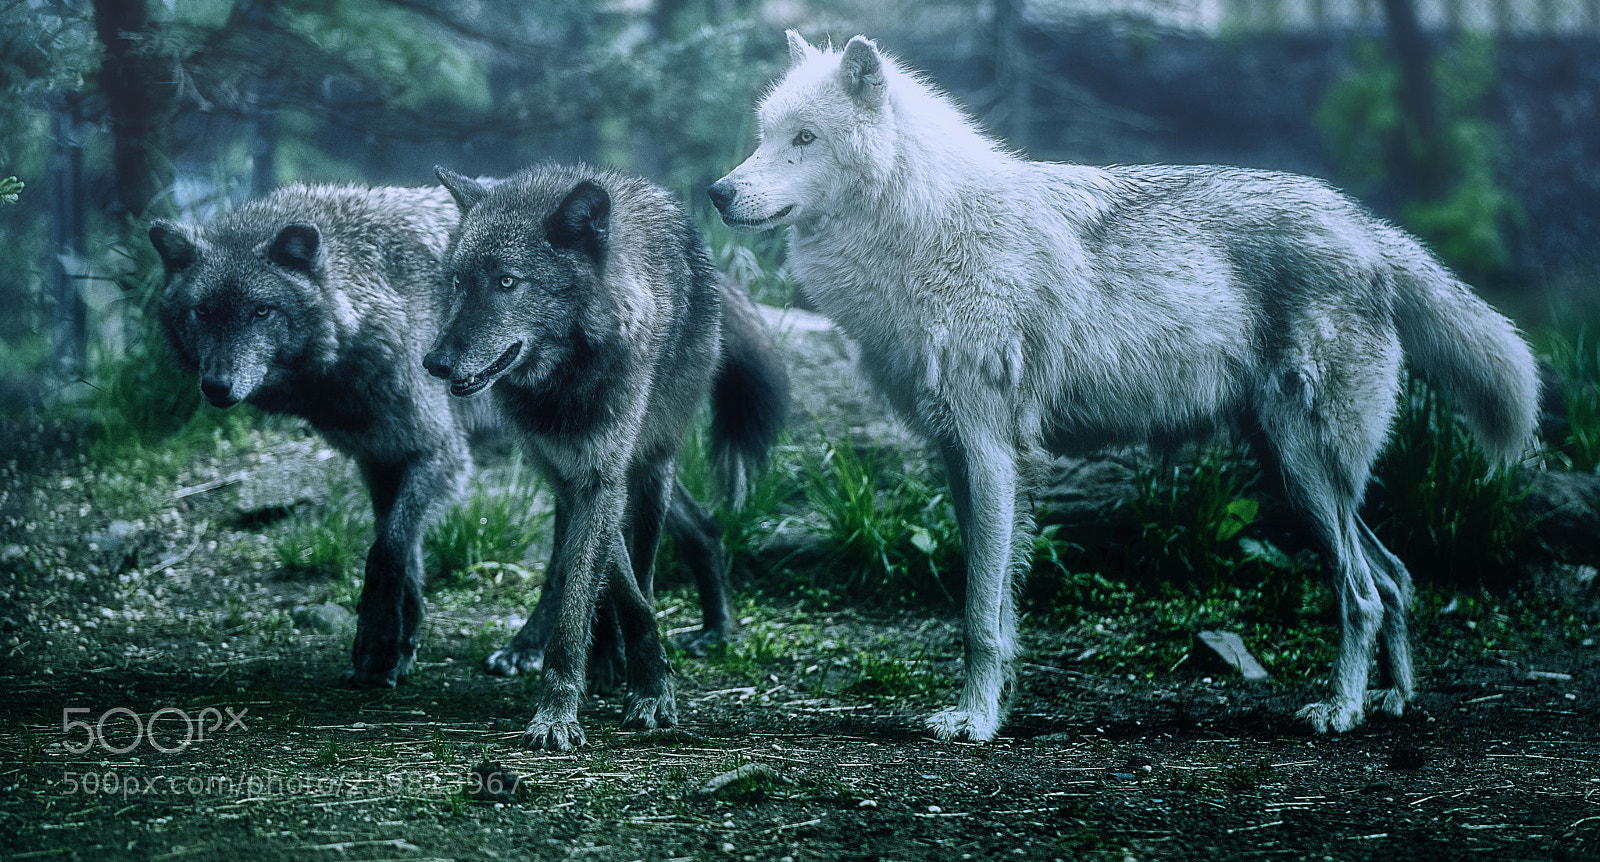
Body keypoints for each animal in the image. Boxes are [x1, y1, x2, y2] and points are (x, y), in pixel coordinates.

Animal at [423, 163, 788, 750]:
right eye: (458, 281)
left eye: (507, 282)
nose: (434, 362)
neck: (565, 383)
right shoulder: (573, 476)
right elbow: (593, 586)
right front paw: (591, 681)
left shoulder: (604, 476)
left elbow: (619, 593)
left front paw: (640, 690)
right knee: (583, 563)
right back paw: (560, 651)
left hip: (653, 465)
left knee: (678, 542)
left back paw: (712, 630)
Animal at [709, 32, 1539, 742]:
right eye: (762, 134)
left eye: (805, 139)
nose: (717, 191)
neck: (930, 228)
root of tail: (1368, 228)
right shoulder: (964, 460)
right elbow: (998, 608)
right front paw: (994, 708)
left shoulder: (992, 455)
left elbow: (978, 617)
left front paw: (974, 723)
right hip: (1296, 472)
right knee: (1395, 576)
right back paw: (1394, 702)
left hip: (1305, 473)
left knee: (1363, 591)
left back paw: (1341, 711)